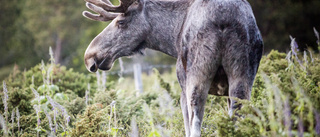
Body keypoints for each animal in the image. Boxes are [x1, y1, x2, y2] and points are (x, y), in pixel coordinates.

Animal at [82, 0, 262, 136]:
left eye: (120, 22)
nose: (89, 55)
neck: (172, 37)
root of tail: (225, 19)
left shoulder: (182, 88)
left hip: (196, 78)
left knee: (195, 126)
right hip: (242, 79)